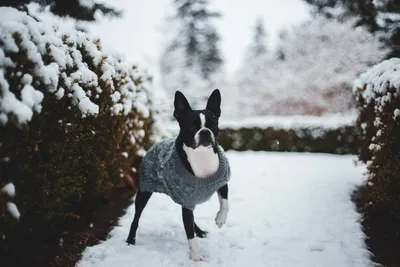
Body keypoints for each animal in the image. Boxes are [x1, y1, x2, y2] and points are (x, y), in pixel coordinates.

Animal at [126, 89, 230, 262]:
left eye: (213, 125)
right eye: (192, 126)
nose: (205, 132)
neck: (201, 155)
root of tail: (155, 144)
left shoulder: (222, 181)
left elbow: (225, 204)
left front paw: (220, 219)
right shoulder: (186, 199)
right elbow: (188, 232)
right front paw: (195, 254)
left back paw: (200, 231)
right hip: (144, 192)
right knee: (136, 217)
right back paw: (130, 239)